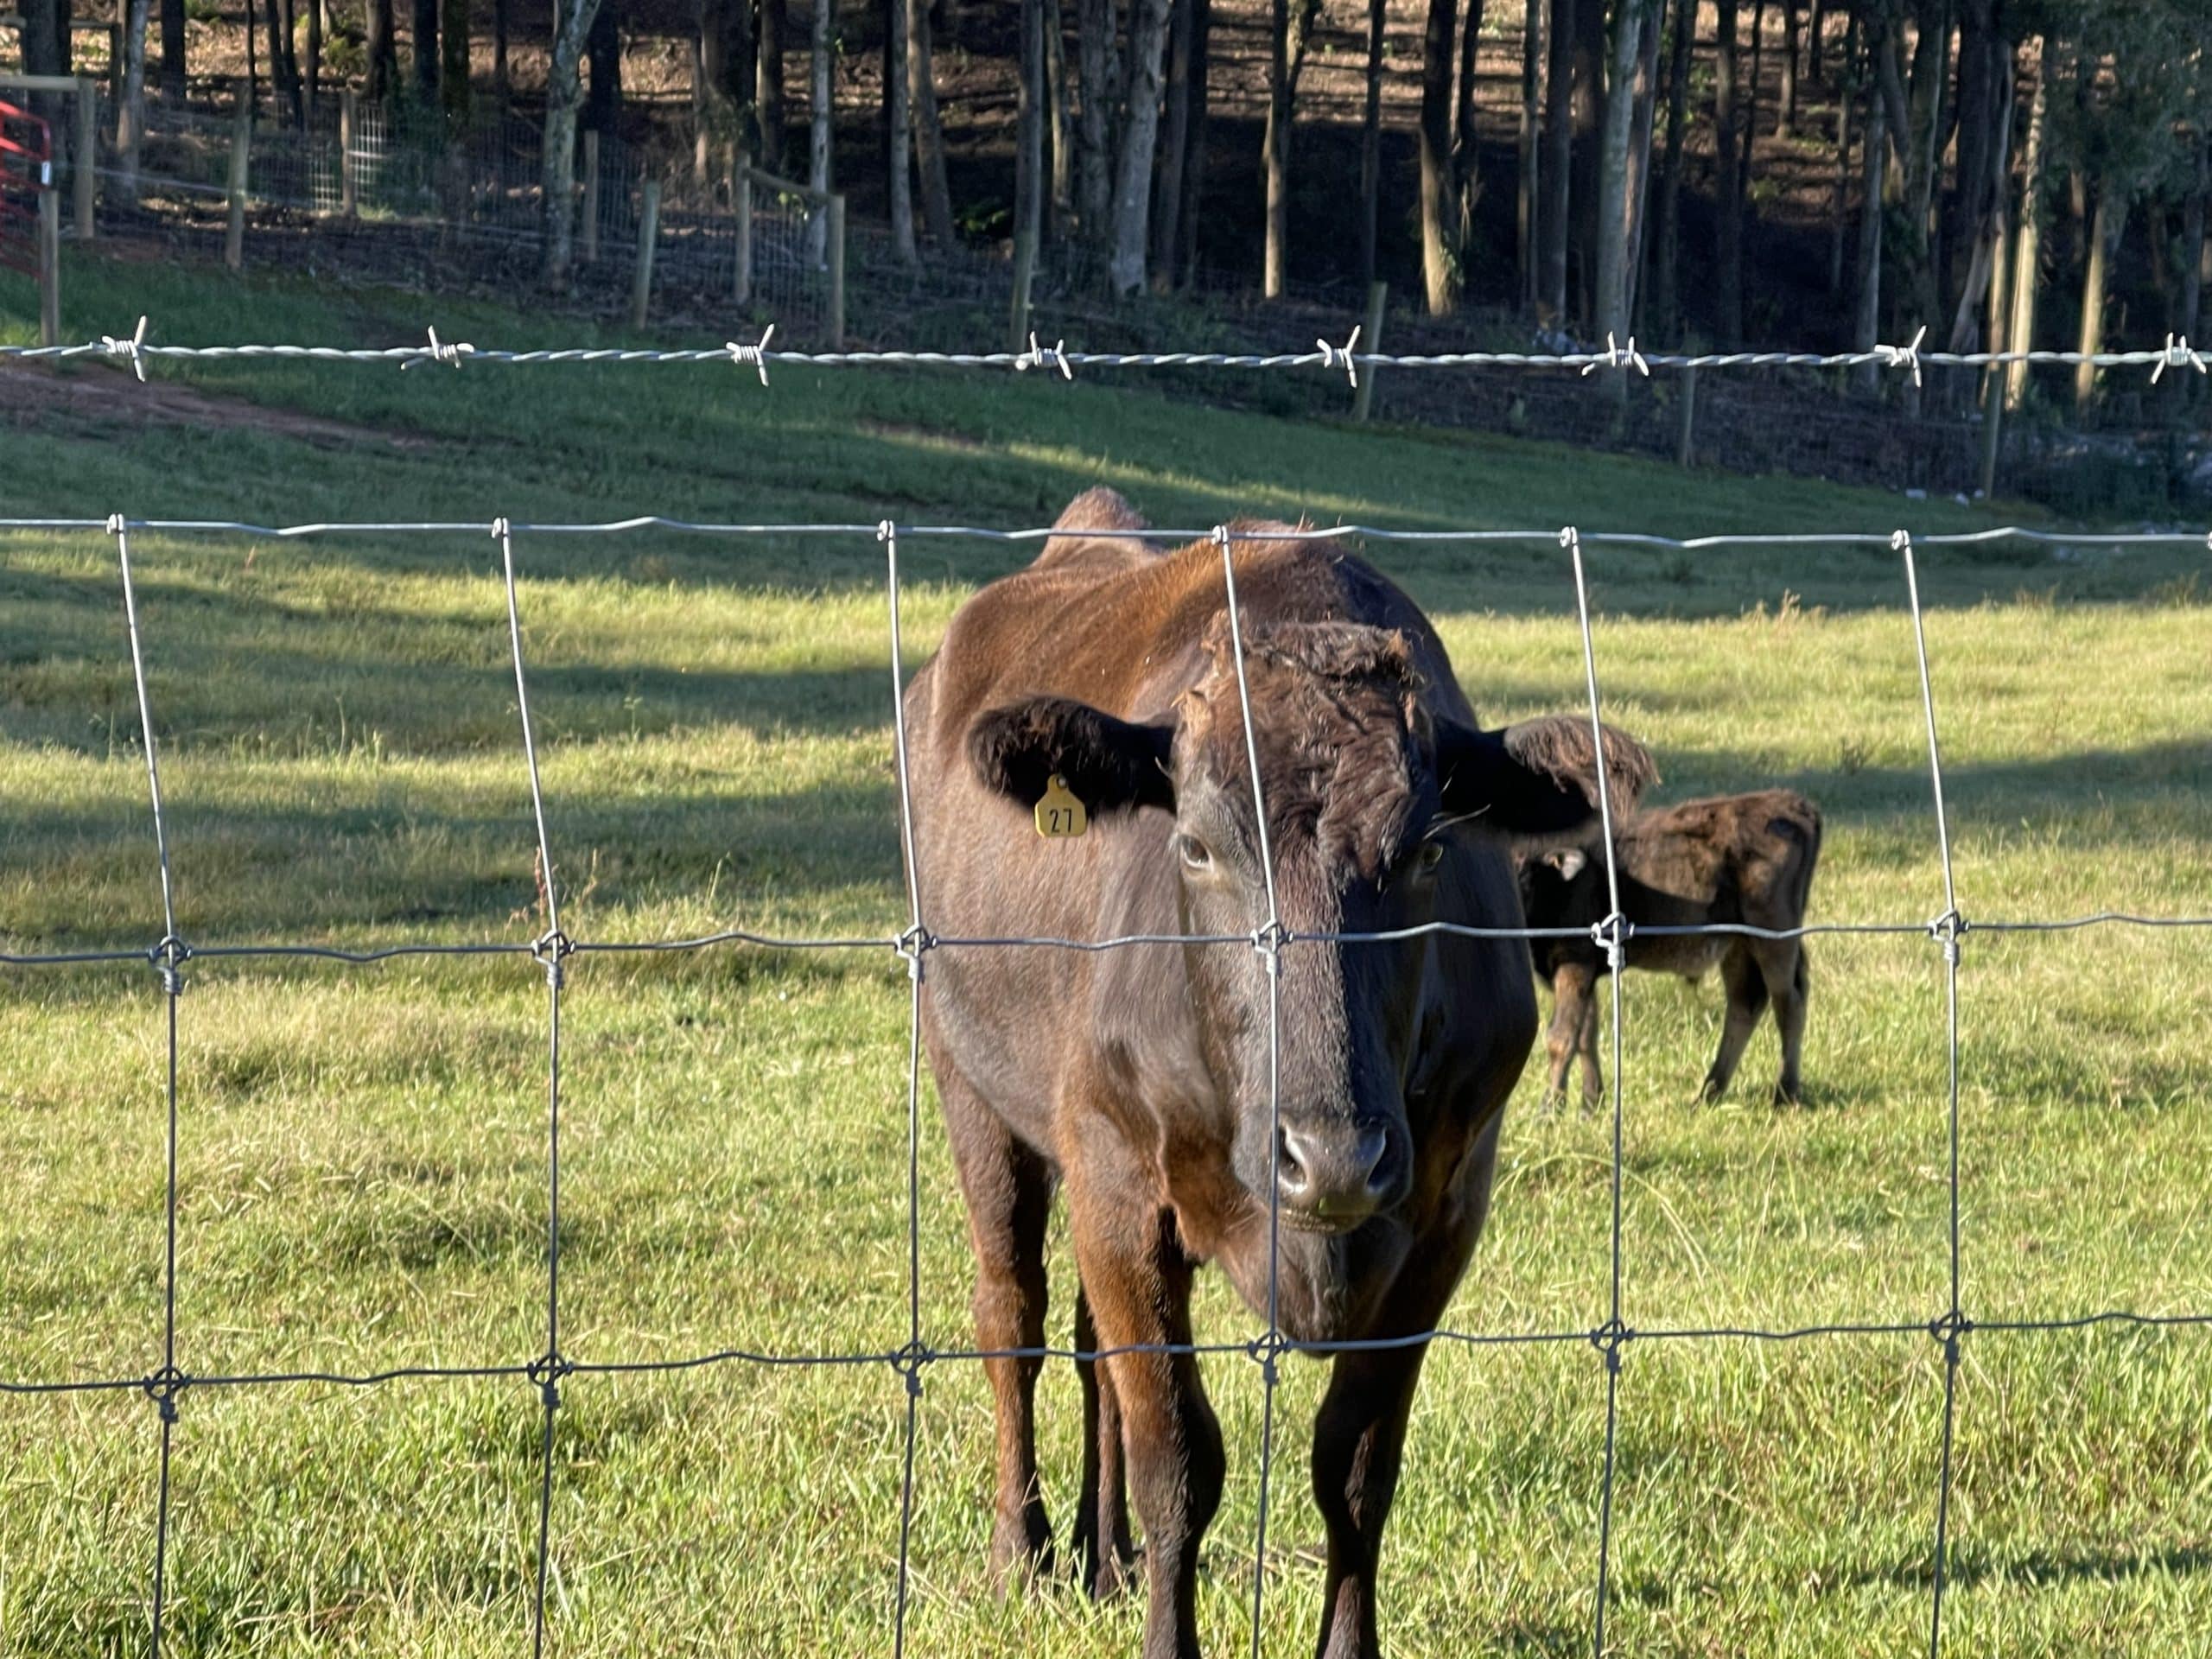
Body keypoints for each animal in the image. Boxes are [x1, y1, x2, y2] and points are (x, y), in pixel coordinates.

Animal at [893, 493, 1645, 1659]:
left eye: (1428, 851)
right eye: (1196, 847)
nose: (1331, 1159)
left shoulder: (1443, 1213)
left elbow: (1356, 1466)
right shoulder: (1118, 1180)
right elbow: (1177, 1461)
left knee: (1086, 1346)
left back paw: (1103, 1557)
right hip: (974, 1089)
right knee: (1011, 1313)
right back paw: (1023, 1553)